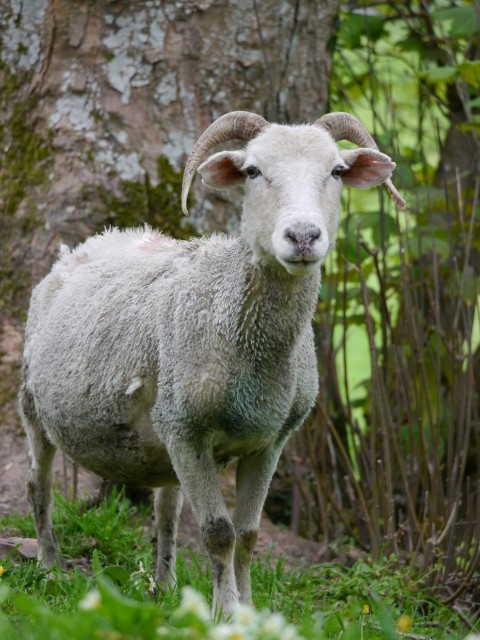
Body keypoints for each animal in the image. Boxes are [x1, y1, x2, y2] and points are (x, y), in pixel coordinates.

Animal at [19, 110, 406, 617]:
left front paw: (249, 610)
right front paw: (225, 612)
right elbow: (218, 533)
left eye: (337, 171)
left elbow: (247, 534)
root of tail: (96, 241)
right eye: (253, 171)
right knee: (39, 488)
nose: (303, 236)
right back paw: (48, 567)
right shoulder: (187, 431)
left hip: (162, 442)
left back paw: (164, 587)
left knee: (166, 510)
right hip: (36, 406)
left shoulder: (271, 441)